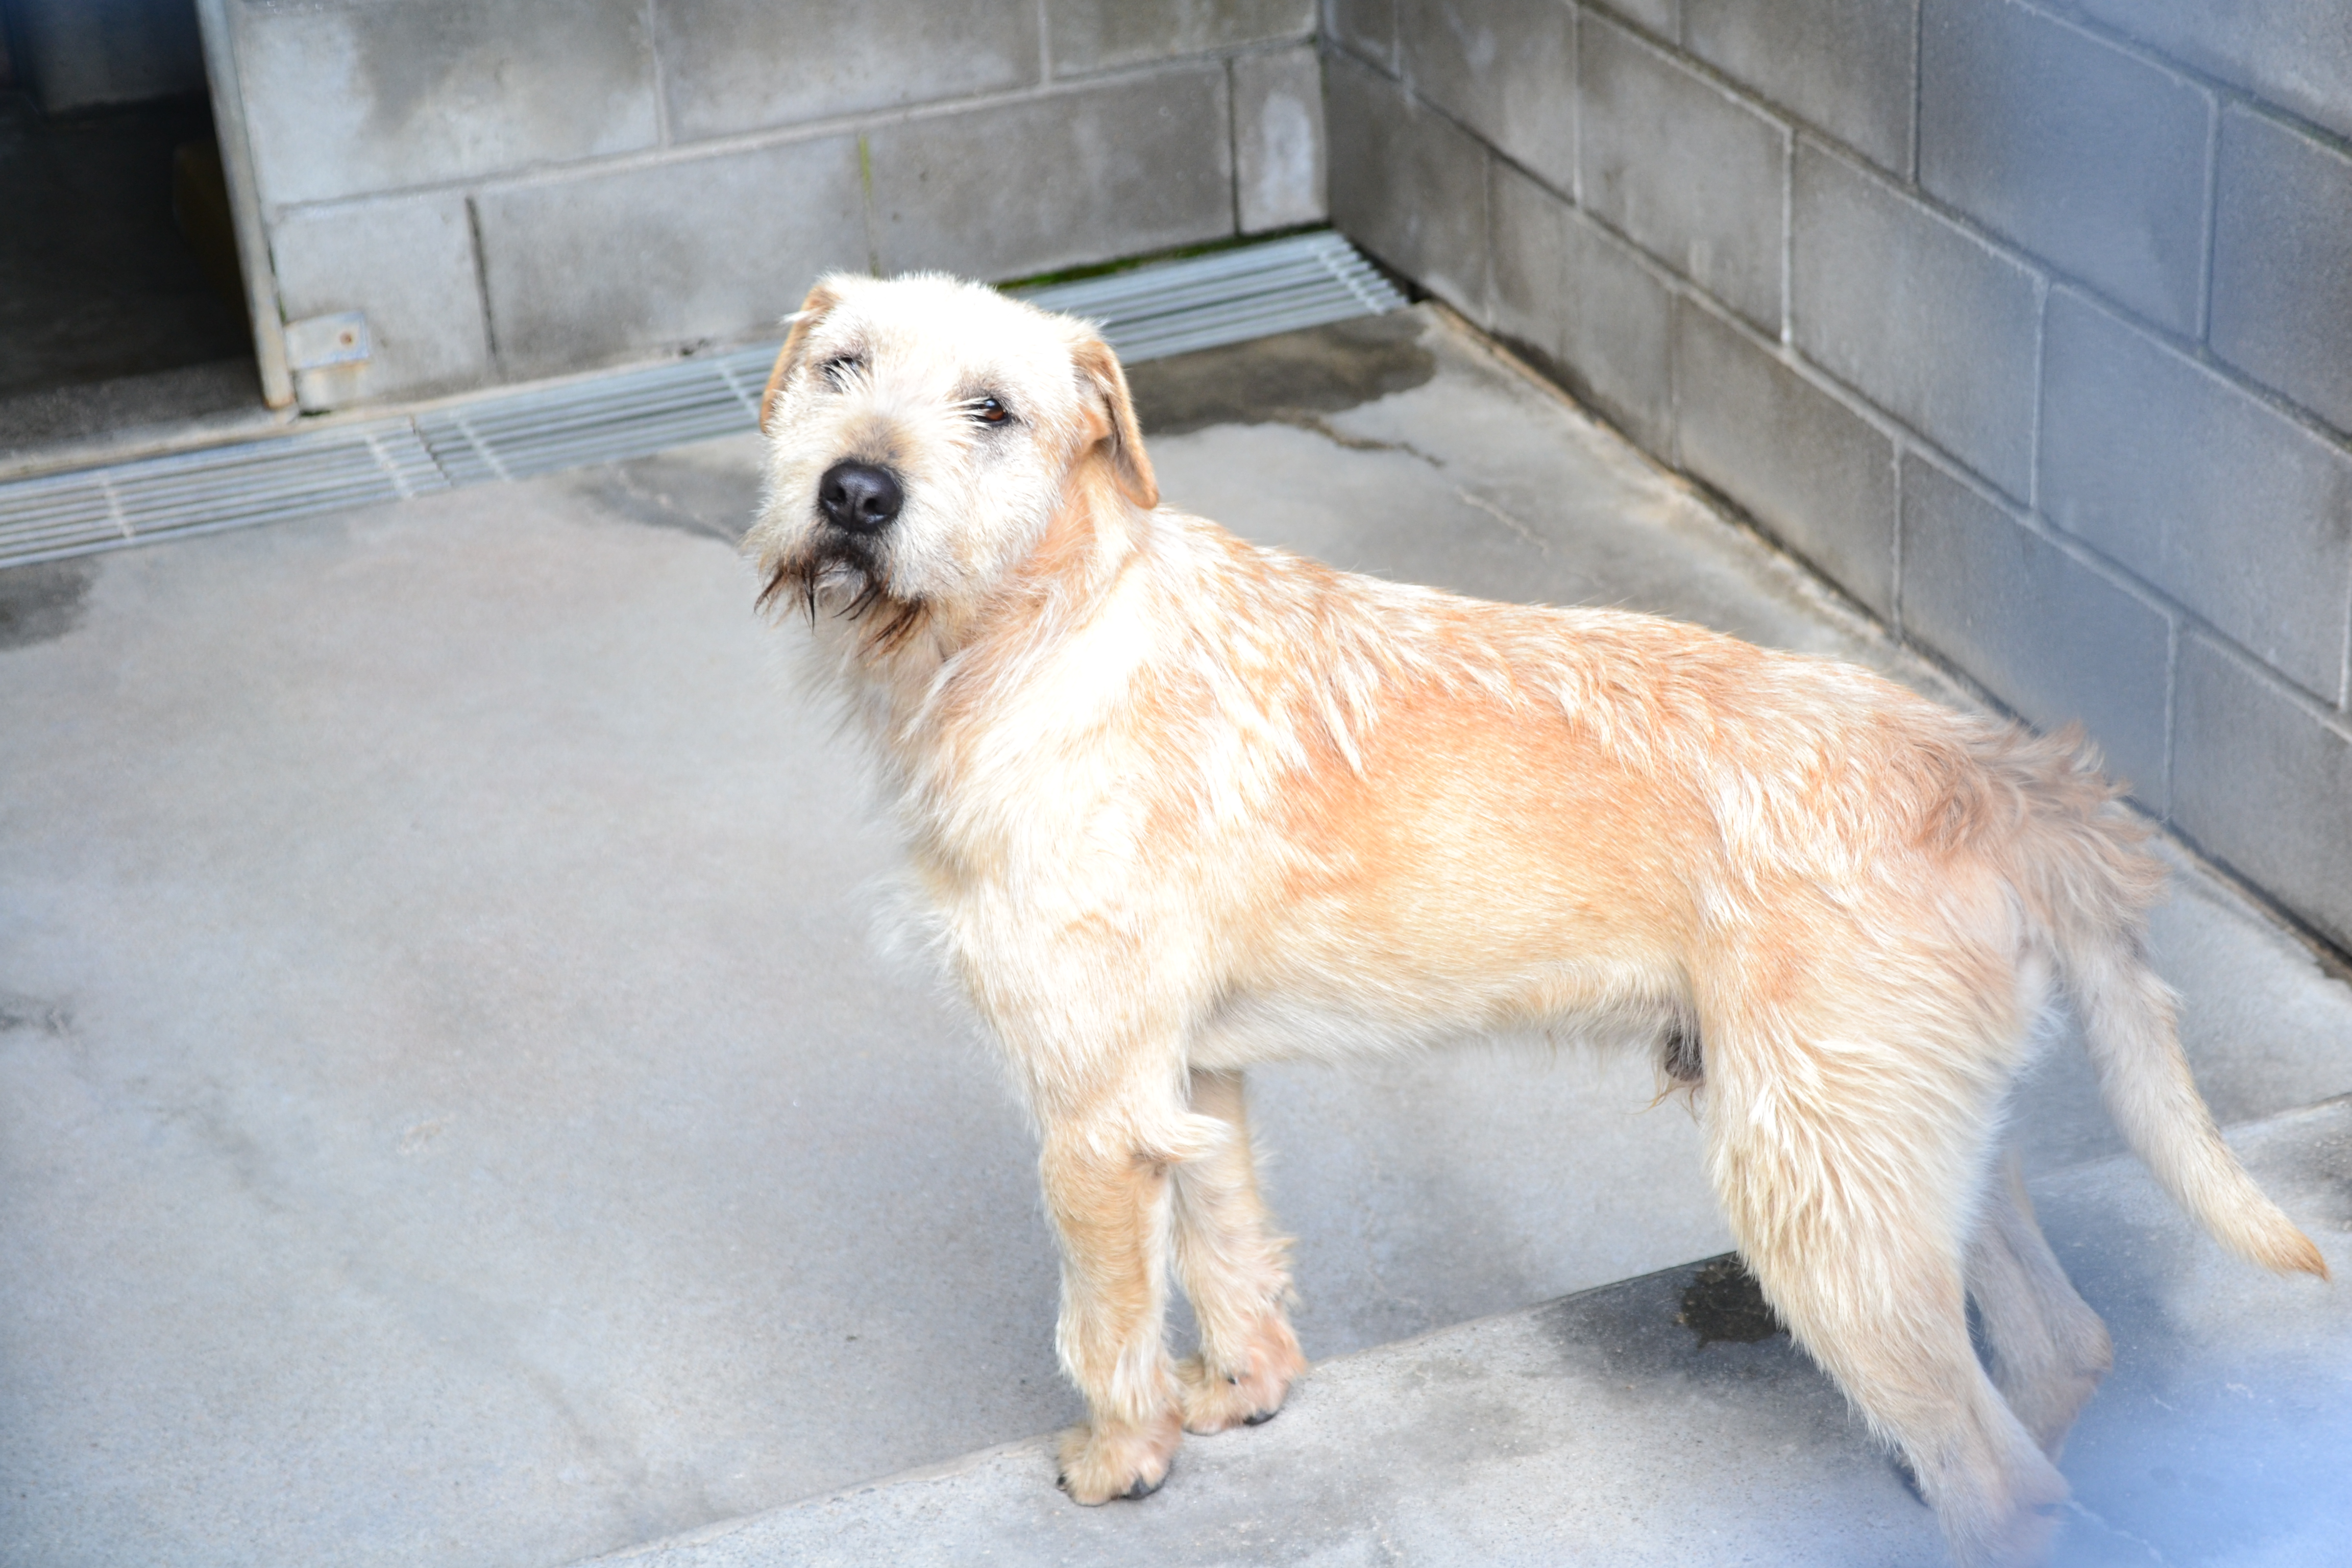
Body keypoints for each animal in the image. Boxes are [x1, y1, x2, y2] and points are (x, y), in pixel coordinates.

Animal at [744, 272, 2326, 1568]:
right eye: (839, 365)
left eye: (993, 410)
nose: (855, 493)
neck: (1038, 629)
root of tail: (2004, 779)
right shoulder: (1185, 1078)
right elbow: (1229, 1244)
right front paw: (1247, 1392)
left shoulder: (1089, 1110)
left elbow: (1109, 1314)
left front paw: (1121, 1457)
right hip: (1902, 1156)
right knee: (2060, 1349)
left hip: (1816, 1203)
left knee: (2004, 1477)